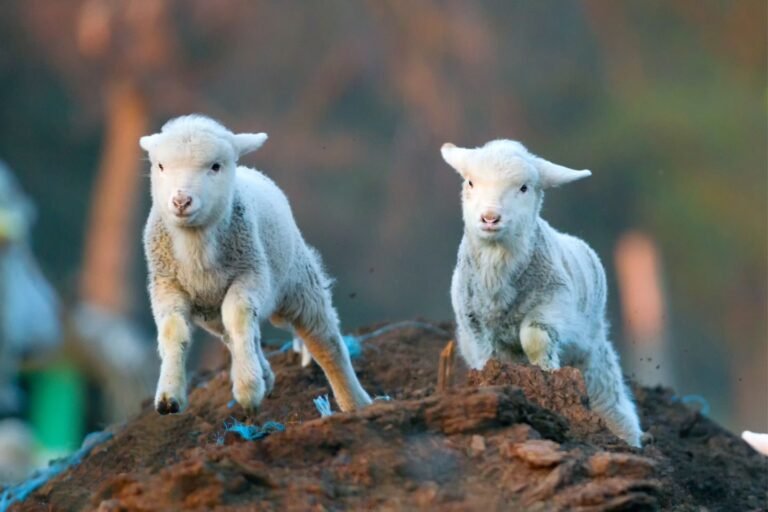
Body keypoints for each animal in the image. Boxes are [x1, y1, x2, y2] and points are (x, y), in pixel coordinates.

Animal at [140, 115, 371, 414]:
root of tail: (250, 169)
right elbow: (173, 331)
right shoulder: (166, 285)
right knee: (237, 335)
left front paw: (248, 390)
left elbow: (238, 316)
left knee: (325, 341)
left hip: (299, 283)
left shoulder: (251, 274)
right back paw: (265, 374)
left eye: (215, 166)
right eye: (160, 166)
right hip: (213, 309)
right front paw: (169, 396)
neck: (195, 244)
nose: (181, 201)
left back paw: (355, 403)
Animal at [441, 139, 643, 447]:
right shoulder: (474, 325)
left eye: (524, 188)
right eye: (471, 182)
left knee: (608, 398)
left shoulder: (554, 306)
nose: (490, 218)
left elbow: (534, 338)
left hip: (591, 351)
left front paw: (546, 373)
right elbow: (490, 359)